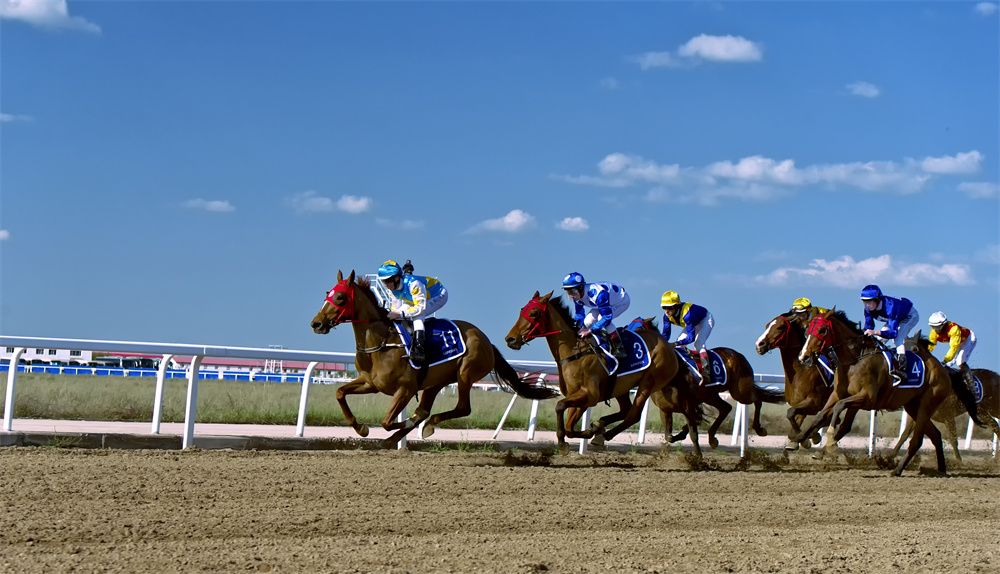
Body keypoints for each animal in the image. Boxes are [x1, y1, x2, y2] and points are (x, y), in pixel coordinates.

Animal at [310, 270, 558, 448]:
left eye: (340, 297)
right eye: (327, 294)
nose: (317, 323)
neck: (381, 343)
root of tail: (487, 341)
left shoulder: (406, 388)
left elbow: (387, 421)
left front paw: (398, 425)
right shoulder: (370, 383)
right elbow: (339, 392)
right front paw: (360, 428)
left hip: (465, 374)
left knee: (461, 408)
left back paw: (425, 427)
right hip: (434, 382)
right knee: (426, 410)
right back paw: (399, 436)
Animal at [504, 291, 693, 453]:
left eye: (534, 313)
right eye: (522, 310)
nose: (510, 339)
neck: (574, 352)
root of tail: (668, 345)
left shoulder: (590, 395)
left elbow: (560, 406)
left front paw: (568, 441)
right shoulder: (579, 397)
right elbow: (569, 426)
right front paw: (586, 432)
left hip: (650, 381)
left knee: (633, 415)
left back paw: (605, 434)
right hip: (621, 387)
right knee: (626, 410)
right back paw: (600, 428)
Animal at [755, 311, 838, 450]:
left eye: (779, 327)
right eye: (767, 326)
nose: (759, 344)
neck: (801, 371)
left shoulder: (814, 402)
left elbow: (791, 414)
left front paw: (806, 440)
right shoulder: (797, 402)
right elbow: (794, 419)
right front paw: (798, 440)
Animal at [795, 309, 980, 476]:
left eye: (822, 330)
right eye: (808, 328)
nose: (803, 356)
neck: (855, 359)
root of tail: (943, 369)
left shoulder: (867, 398)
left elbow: (839, 407)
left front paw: (830, 443)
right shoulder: (838, 394)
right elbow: (821, 415)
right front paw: (799, 438)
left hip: (928, 404)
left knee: (917, 440)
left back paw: (897, 470)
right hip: (913, 406)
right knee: (935, 435)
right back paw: (940, 470)